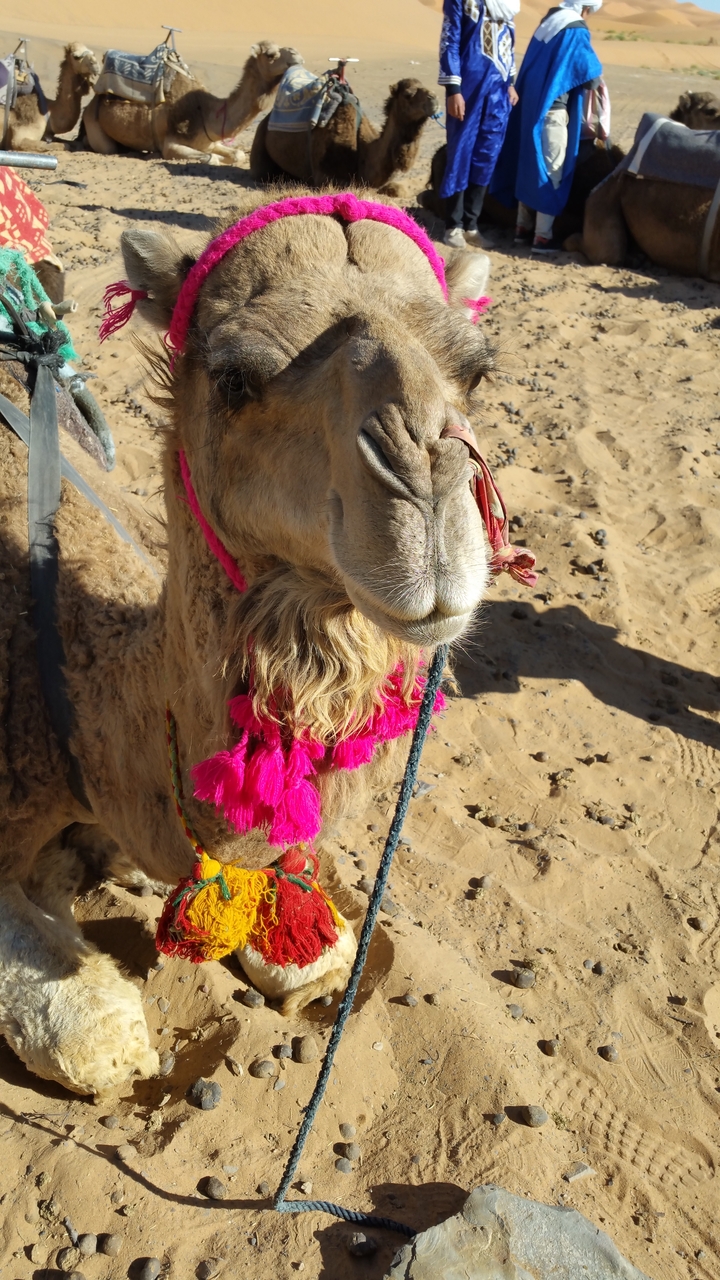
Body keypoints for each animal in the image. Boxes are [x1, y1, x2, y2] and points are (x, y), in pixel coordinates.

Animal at [84, 41, 303, 163]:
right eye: (270, 54)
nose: (297, 55)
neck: (206, 112)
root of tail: (91, 103)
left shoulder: (209, 142)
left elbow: (238, 155)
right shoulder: (172, 145)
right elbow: (213, 160)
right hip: (95, 126)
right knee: (108, 148)